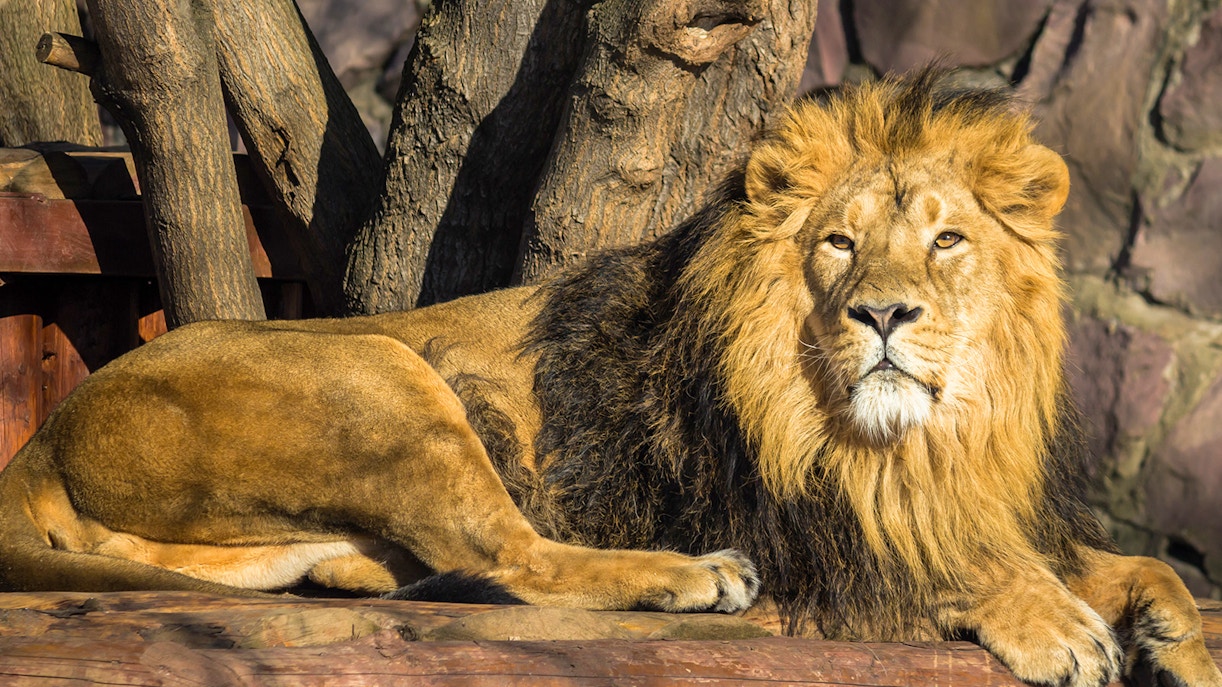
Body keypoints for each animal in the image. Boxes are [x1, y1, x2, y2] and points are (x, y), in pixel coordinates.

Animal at [0, 69, 1217, 687]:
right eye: (837, 243)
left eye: (947, 240)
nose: (882, 313)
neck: (918, 438)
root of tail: (45, 435)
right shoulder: (803, 523)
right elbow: (939, 565)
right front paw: (1062, 629)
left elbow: (1129, 563)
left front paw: (1173, 635)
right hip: (386, 371)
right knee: (514, 555)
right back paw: (694, 576)